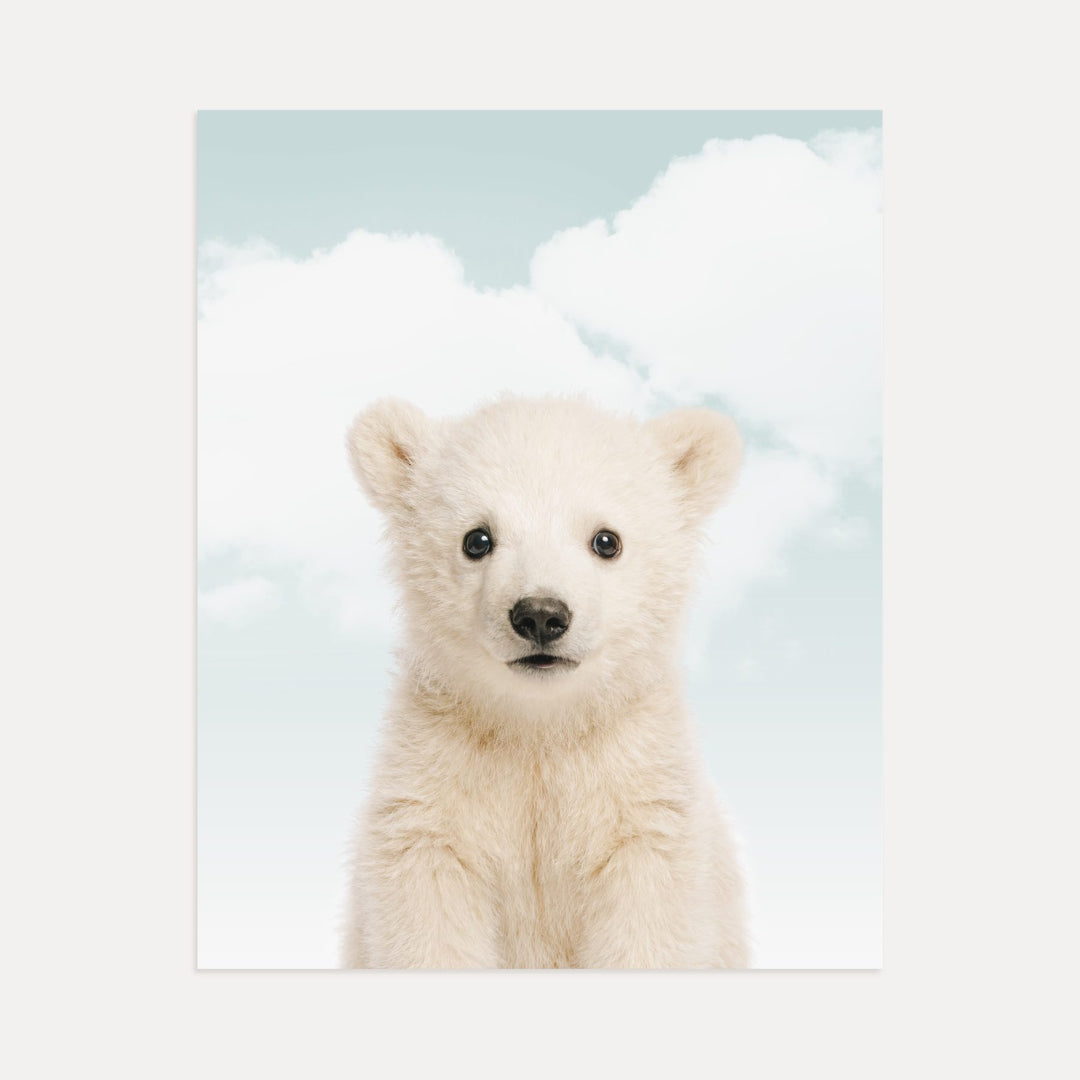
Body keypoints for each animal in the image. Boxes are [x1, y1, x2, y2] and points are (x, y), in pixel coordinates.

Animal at [341, 395, 750, 969]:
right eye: (477, 539)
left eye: (606, 540)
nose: (540, 615)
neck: (539, 727)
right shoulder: (434, 789)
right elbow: (429, 915)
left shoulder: (640, 797)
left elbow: (648, 923)